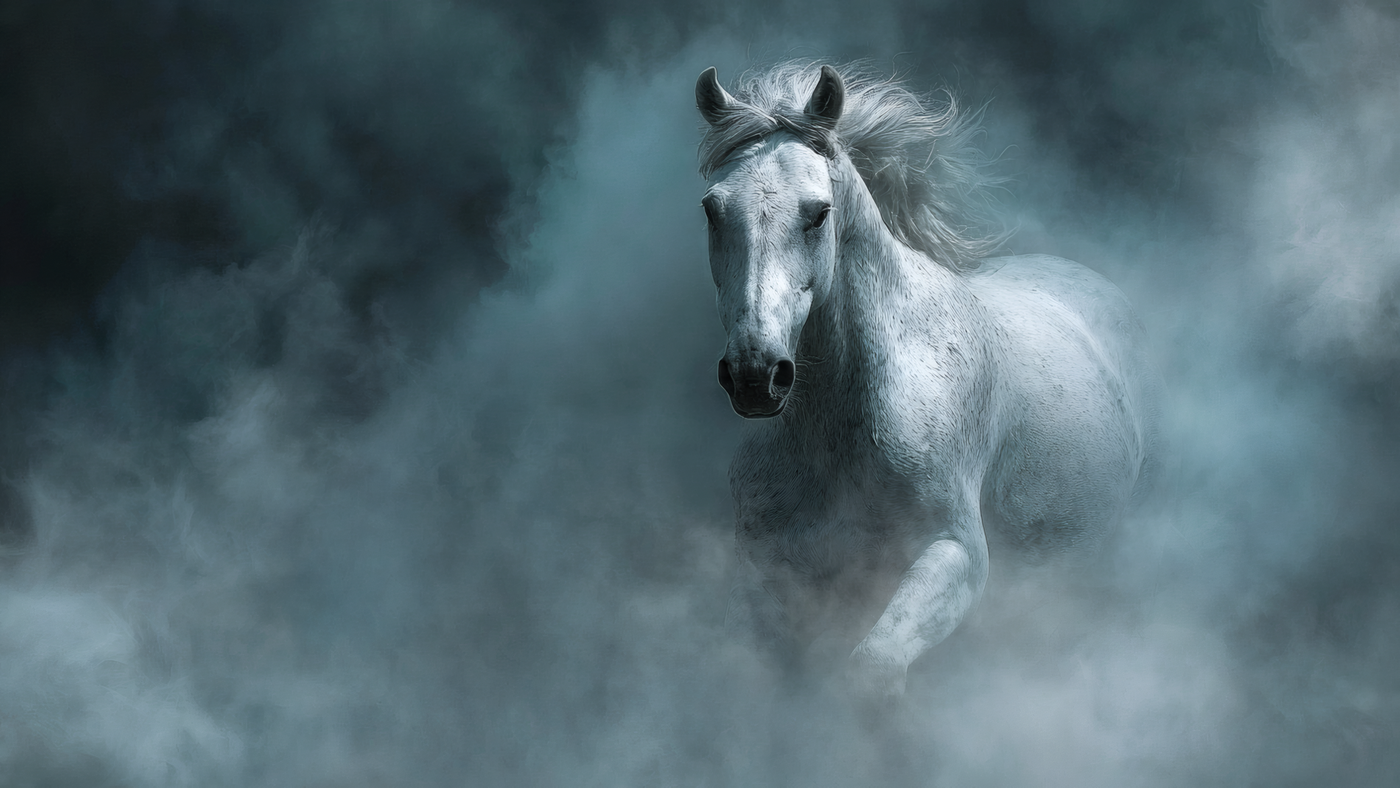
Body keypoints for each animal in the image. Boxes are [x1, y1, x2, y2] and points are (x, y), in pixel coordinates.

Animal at [695, 62, 1161, 697]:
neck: (839, 433)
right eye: (712, 210)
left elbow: (872, 671)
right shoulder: (771, 577)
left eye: (818, 213)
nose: (755, 374)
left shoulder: (954, 553)